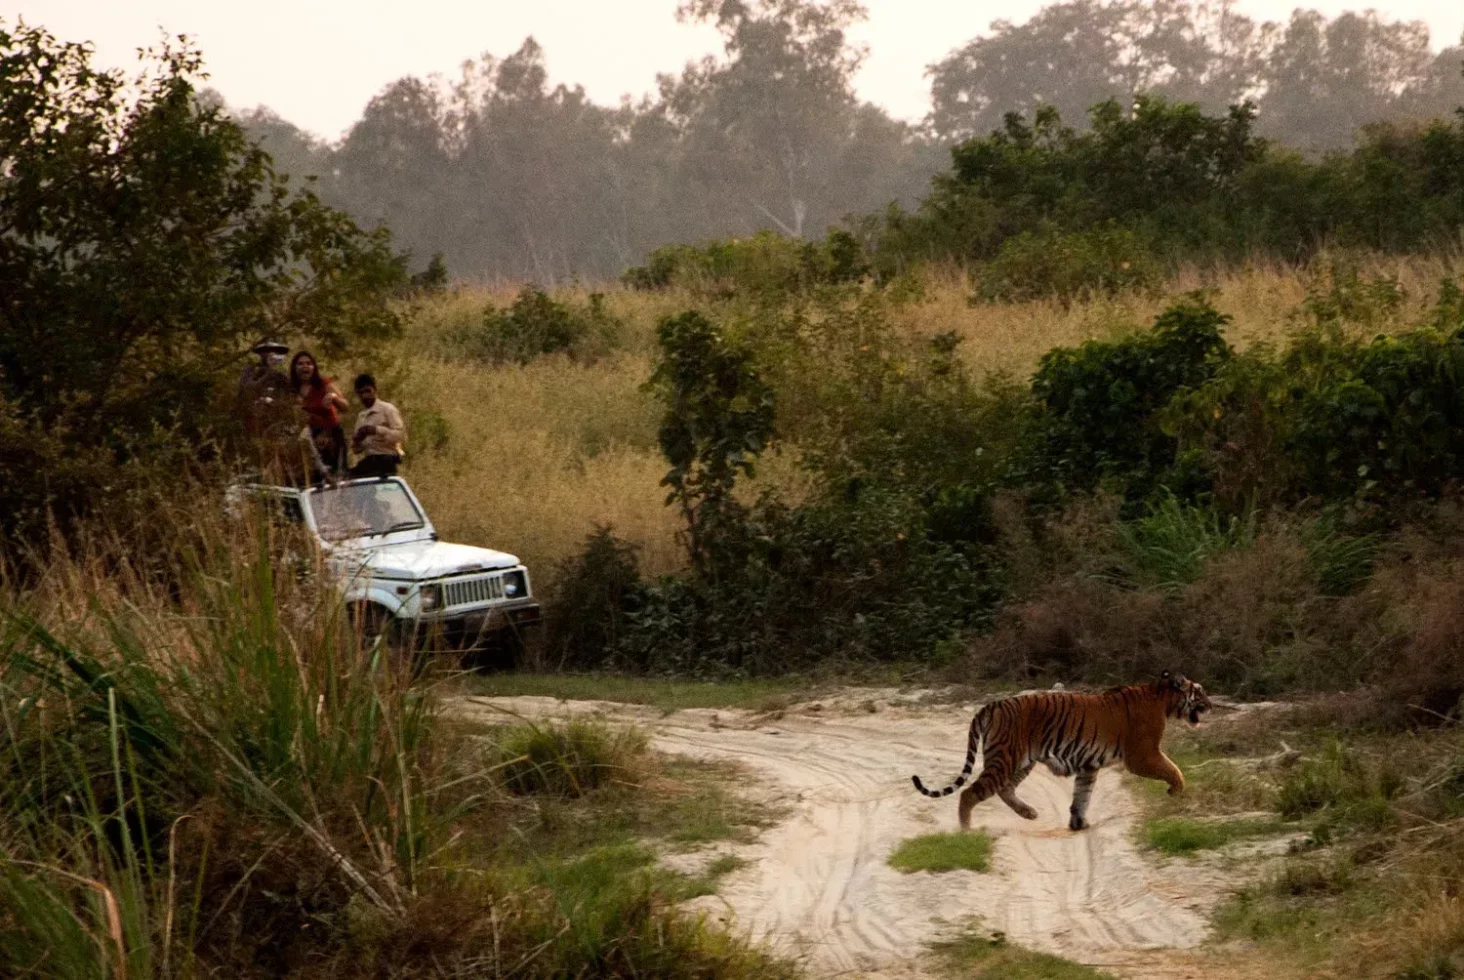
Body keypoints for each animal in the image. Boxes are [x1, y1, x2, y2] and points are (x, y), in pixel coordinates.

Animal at [913, 667, 1212, 832]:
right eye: (1199, 691)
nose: (1211, 705)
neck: (1163, 698)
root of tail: (991, 705)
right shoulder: (1142, 755)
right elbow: (1173, 768)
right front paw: (1176, 791)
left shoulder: (1089, 765)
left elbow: (1082, 796)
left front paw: (1078, 824)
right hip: (1005, 758)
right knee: (970, 793)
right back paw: (967, 831)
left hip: (1022, 761)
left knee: (1004, 789)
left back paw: (1029, 813)